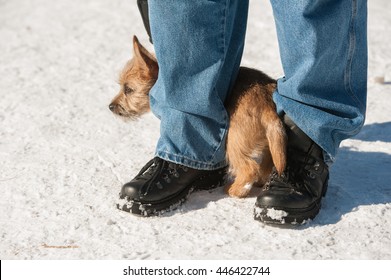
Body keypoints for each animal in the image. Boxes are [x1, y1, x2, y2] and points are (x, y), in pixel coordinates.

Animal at [110, 36, 288, 198]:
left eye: (128, 89)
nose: (110, 107)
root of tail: (266, 102)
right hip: (268, 142)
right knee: (267, 164)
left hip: (234, 141)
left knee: (249, 168)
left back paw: (236, 190)